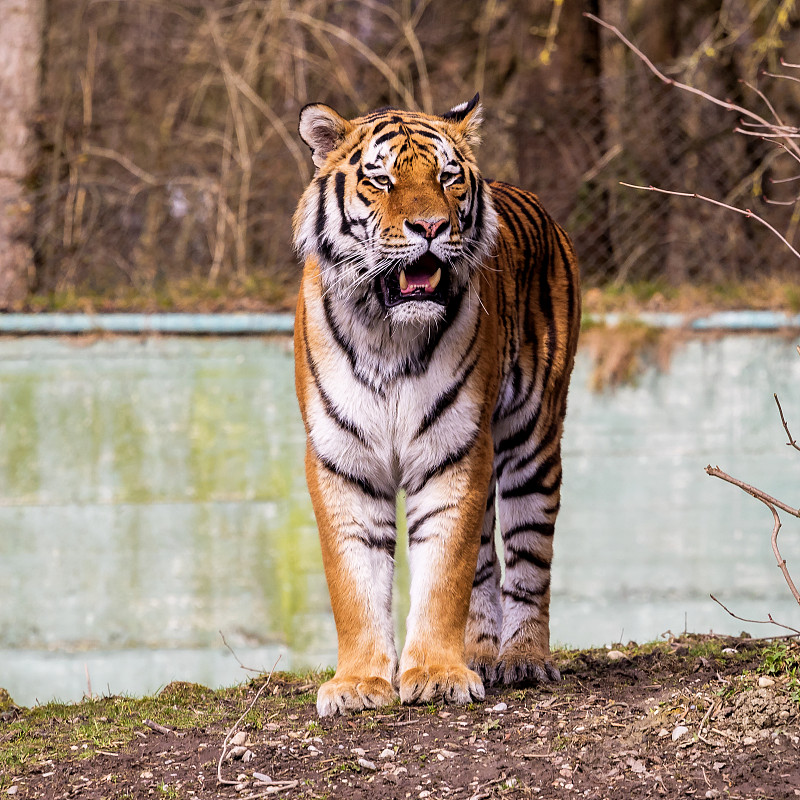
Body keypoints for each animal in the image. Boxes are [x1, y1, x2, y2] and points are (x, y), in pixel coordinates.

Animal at [290, 95, 580, 720]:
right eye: (380, 179)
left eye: (448, 178)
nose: (430, 227)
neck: (387, 333)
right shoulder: (341, 459)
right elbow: (354, 581)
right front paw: (358, 683)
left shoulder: (454, 451)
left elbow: (443, 574)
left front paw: (437, 674)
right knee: (486, 563)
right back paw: (482, 654)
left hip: (533, 439)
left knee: (528, 557)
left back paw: (522, 658)